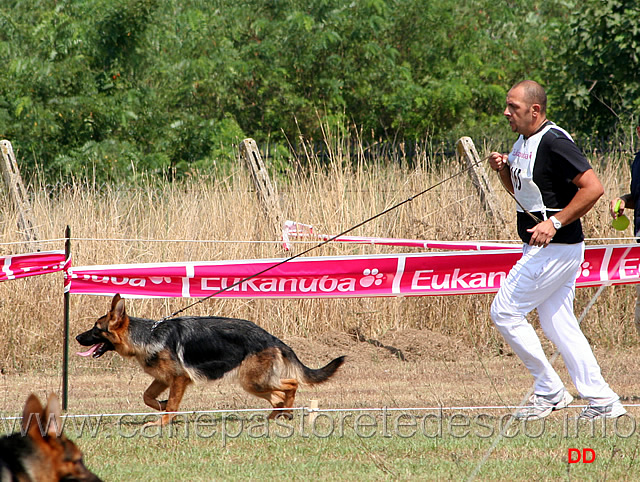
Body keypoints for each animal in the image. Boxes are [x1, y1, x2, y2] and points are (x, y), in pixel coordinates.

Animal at [75, 294, 344, 426]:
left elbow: (171, 406)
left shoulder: (179, 379)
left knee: (291, 385)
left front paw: (162, 422)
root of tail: (271, 337)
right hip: (254, 383)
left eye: (96, 329)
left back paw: (285, 411)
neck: (148, 335)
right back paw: (276, 415)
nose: (77, 337)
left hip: (253, 381)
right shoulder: (164, 379)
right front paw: (161, 406)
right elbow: (147, 397)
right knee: (278, 396)